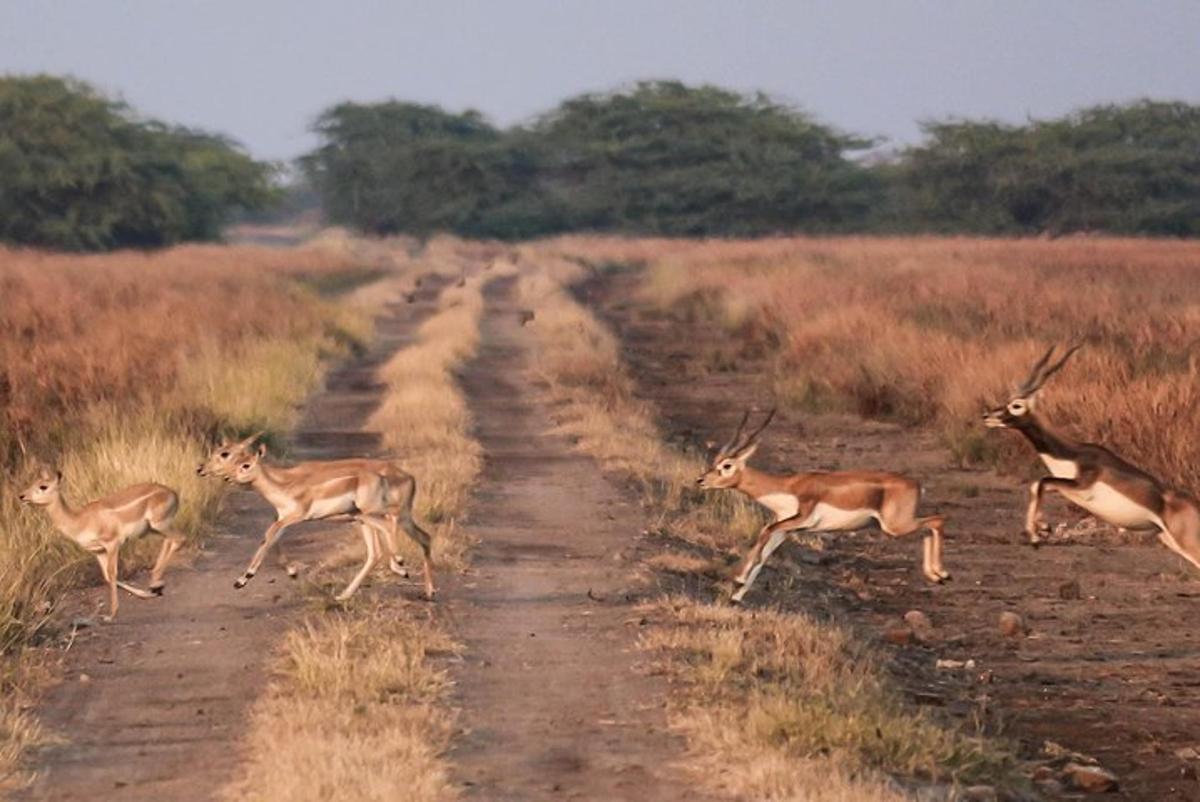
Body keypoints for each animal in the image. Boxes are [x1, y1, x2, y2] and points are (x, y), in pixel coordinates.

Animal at [17, 470, 183, 619]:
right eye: (33, 481)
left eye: (43, 486)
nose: (22, 496)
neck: (80, 520)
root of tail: (173, 494)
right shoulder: (98, 551)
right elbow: (107, 577)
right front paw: (144, 595)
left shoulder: (112, 544)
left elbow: (112, 573)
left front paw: (111, 615)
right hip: (153, 529)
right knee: (170, 541)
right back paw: (155, 585)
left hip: (159, 524)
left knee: (179, 539)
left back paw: (156, 584)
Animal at [201, 434, 436, 597]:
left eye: (243, 463)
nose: (200, 469)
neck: (285, 483)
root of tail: (408, 477)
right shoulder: (282, 517)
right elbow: (271, 539)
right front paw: (292, 572)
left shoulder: (294, 517)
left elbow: (267, 537)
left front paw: (243, 579)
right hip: (368, 519)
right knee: (394, 546)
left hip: (380, 514)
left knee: (393, 530)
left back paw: (403, 568)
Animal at [696, 408, 945, 600]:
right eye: (715, 462)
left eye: (727, 465)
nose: (700, 480)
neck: (787, 487)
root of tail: (916, 483)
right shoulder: (787, 528)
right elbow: (764, 552)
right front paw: (737, 595)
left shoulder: (800, 519)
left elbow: (764, 531)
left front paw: (737, 578)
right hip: (897, 526)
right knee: (928, 527)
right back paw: (936, 576)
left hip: (894, 526)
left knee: (937, 519)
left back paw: (942, 574)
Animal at [984, 340, 1200, 566]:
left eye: (1016, 405)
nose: (987, 416)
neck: (1072, 453)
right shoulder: (1065, 486)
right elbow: (1038, 485)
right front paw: (1043, 528)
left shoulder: (1081, 484)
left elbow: (1041, 481)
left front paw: (1035, 537)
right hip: (1167, 538)